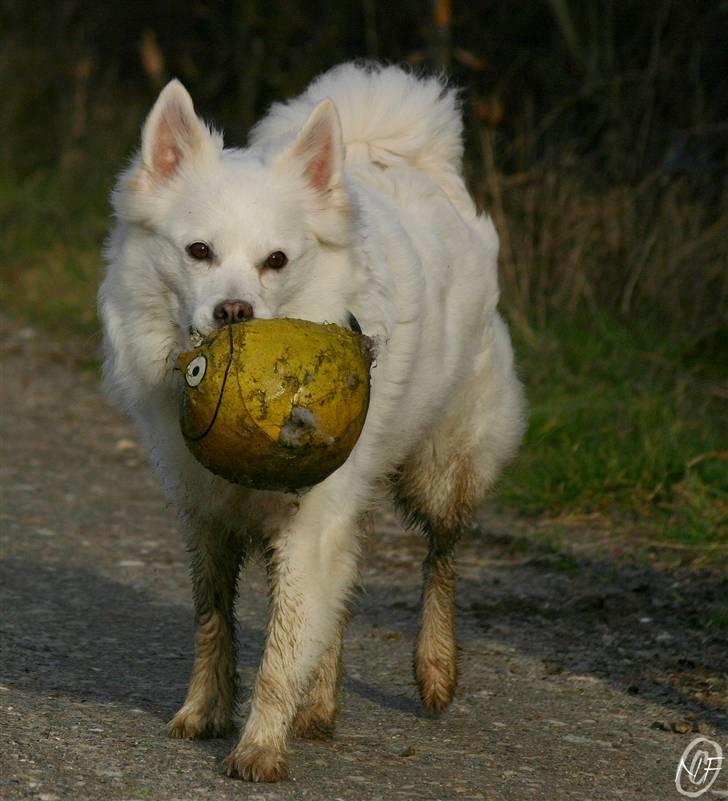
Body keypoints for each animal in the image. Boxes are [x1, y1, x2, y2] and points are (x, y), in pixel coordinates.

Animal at [99, 64, 528, 780]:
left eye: (276, 260)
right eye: (198, 250)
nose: (234, 311)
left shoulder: (308, 524)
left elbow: (283, 645)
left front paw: (260, 747)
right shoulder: (205, 513)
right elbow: (215, 622)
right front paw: (206, 711)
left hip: (442, 469)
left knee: (440, 557)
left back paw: (435, 669)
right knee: (345, 594)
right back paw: (321, 706)